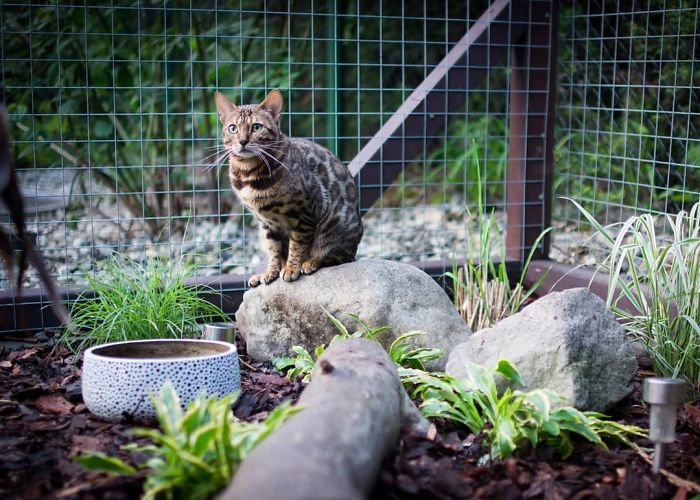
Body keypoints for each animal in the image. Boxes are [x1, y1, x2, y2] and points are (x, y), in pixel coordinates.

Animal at [215, 89, 364, 286]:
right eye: (233, 128)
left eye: (256, 127)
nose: (242, 141)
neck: (248, 175)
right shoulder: (266, 224)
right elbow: (275, 250)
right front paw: (271, 272)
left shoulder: (304, 213)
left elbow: (297, 245)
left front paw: (292, 268)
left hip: (338, 227)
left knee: (339, 256)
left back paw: (311, 262)